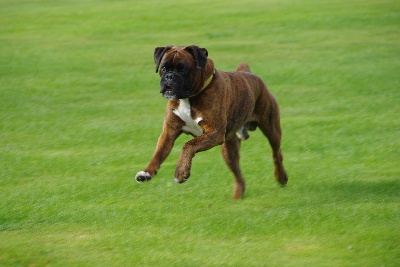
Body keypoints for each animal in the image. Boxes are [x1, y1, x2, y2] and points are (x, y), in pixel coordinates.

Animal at [135, 45, 288, 200]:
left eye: (183, 69)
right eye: (164, 68)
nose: (169, 77)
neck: (189, 98)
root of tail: (249, 73)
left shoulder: (214, 132)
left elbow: (188, 145)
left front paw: (180, 172)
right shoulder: (169, 132)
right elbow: (159, 153)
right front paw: (146, 172)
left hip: (271, 129)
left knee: (277, 154)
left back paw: (281, 177)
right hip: (229, 150)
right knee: (239, 176)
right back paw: (237, 197)